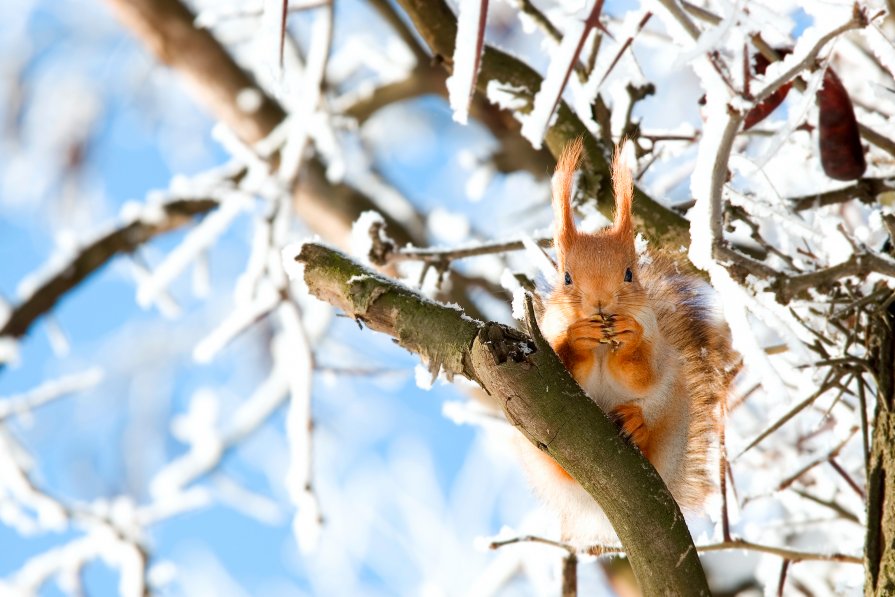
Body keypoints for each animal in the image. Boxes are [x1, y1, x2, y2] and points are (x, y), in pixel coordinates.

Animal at [516, 137, 740, 548]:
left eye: (629, 274)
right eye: (566, 277)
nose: (601, 302)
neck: (605, 349)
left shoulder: (657, 345)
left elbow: (644, 373)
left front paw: (629, 337)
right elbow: (565, 359)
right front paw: (579, 337)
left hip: (672, 419)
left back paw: (637, 424)